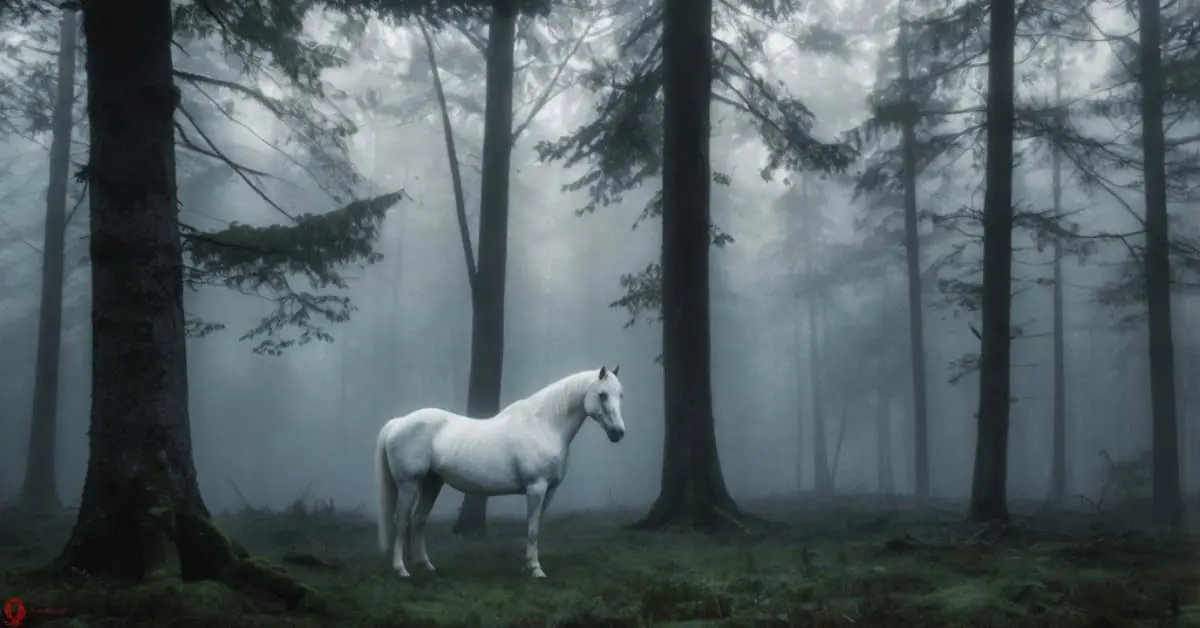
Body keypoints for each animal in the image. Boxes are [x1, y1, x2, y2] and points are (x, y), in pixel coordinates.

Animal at [375, 365, 626, 578]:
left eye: (620, 395)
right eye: (602, 395)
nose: (618, 433)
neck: (545, 425)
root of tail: (398, 423)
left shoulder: (550, 490)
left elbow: (534, 525)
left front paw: (527, 566)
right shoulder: (536, 487)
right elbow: (533, 528)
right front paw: (536, 570)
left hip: (432, 483)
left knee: (418, 519)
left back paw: (426, 565)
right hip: (408, 484)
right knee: (401, 521)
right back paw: (401, 569)